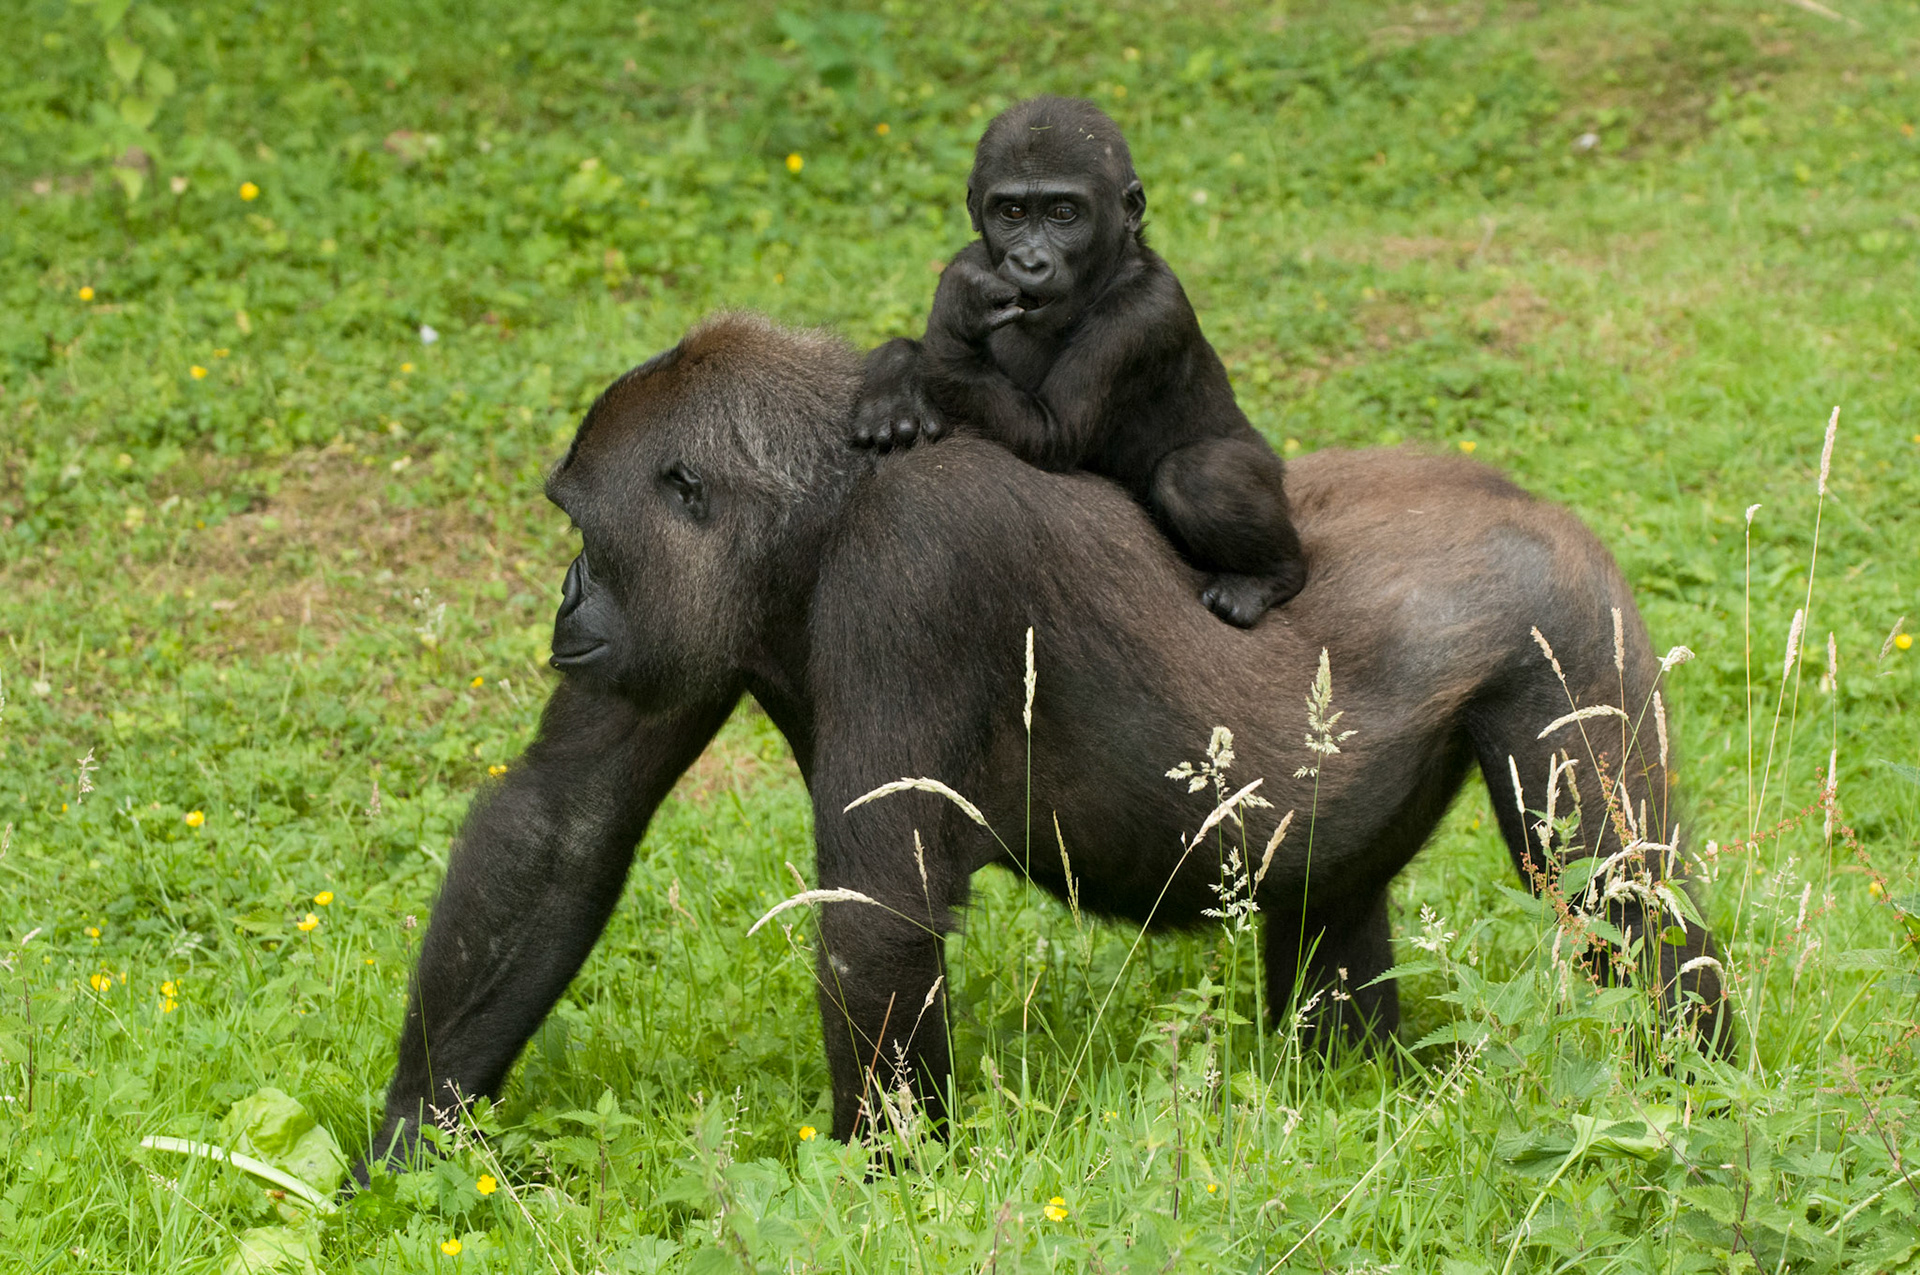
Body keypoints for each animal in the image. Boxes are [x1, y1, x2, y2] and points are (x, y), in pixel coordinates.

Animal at [357, 313, 1726, 1176]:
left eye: (585, 529)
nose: (566, 603)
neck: (829, 499)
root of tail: (1538, 504)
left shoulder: (918, 558)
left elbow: (877, 916)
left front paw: (879, 1190)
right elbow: (561, 823)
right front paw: (412, 1139)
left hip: (1568, 625)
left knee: (1627, 898)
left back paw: (1699, 1087)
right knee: (1337, 908)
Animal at [849, 96, 1306, 628]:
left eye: (1064, 213)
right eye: (1012, 211)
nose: (1028, 262)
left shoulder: (1143, 315)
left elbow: (1054, 436)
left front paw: (955, 313)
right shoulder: (979, 252)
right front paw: (893, 379)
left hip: (1268, 473)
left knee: (1201, 475)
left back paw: (1271, 576)